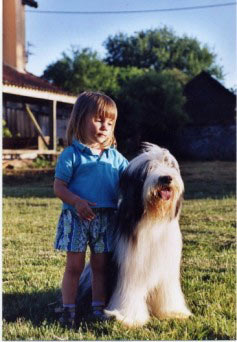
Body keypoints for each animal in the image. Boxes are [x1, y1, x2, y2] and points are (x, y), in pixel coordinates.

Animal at [78, 143, 193, 328]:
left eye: (169, 165)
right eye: (150, 169)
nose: (166, 178)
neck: (153, 219)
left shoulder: (167, 268)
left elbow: (167, 291)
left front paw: (173, 312)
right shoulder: (132, 266)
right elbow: (130, 291)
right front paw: (127, 318)